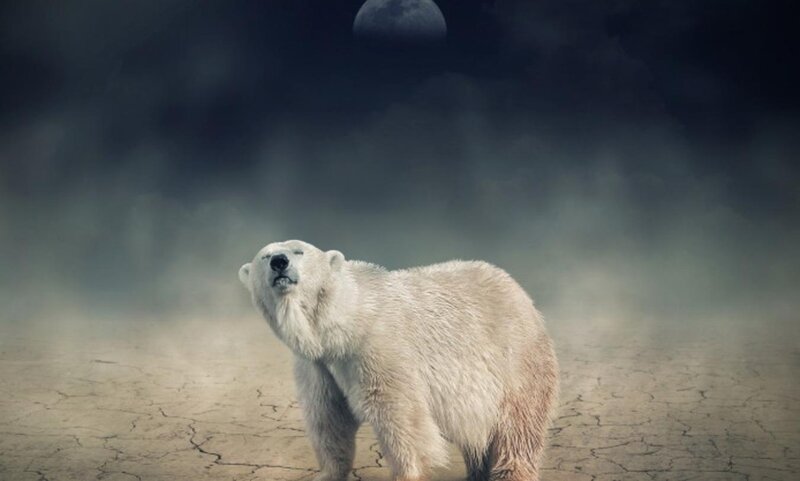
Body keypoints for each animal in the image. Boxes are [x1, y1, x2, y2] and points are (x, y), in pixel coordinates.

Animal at [238, 239, 559, 481]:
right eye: (265, 255)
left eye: (298, 251)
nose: (279, 262)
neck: (345, 322)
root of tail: (520, 293)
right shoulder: (318, 365)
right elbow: (328, 416)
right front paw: (328, 474)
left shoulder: (379, 348)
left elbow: (400, 414)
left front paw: (407, 473)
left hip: (514, 359)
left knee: (517, 424)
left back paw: (511, 472)